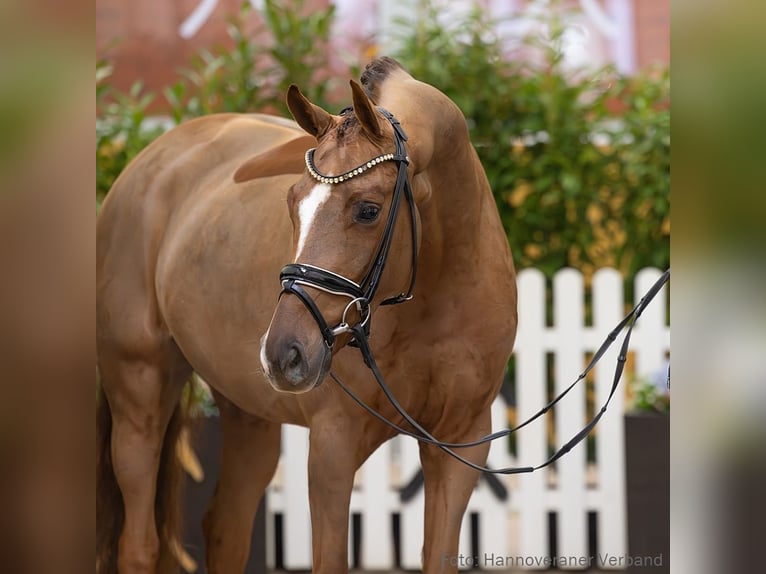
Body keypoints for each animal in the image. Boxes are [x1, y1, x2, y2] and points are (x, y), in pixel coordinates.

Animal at [96, 56, 517, 573]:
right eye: (292, 201)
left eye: (368, 210)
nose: (284, 354)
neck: (434, 297)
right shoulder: (333, 447)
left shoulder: (459, 445)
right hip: (139, 393)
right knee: (139, 543)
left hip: (248, 414)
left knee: (225, 527)